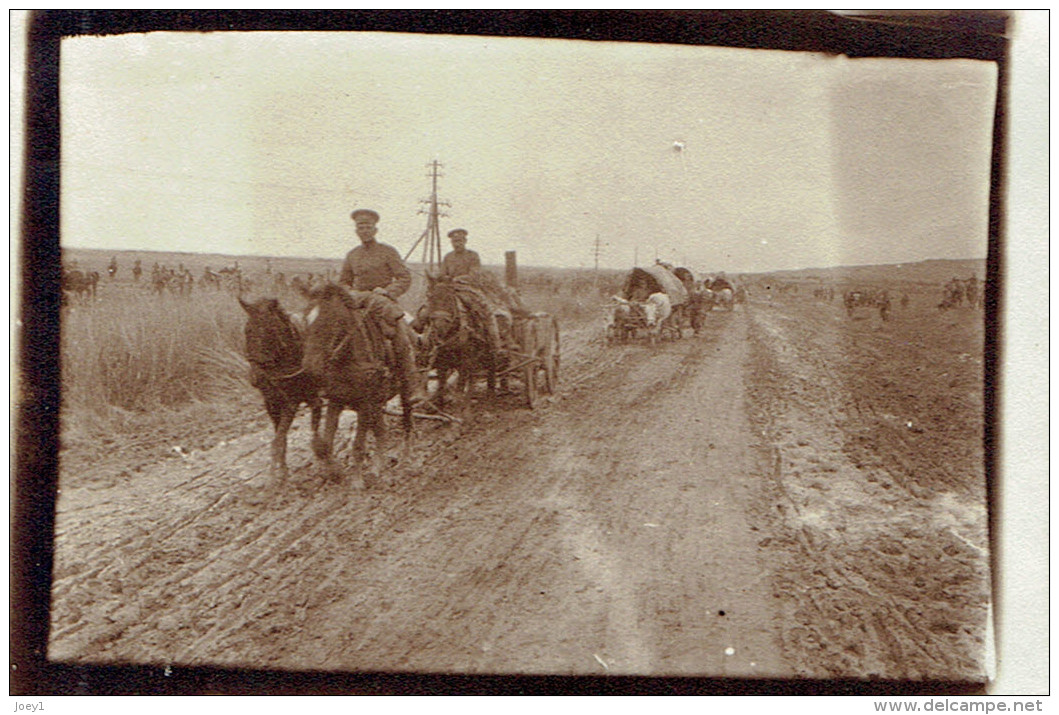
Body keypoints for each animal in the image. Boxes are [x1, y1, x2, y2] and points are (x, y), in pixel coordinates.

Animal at [238, 294, 319, 487]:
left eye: (270, 330)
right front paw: (282, 470)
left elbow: (279, 439)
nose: (256, 378)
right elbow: (280, 438)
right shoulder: (272, 404)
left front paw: (274, 478)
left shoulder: (293, 402)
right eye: (247, 331)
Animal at [300, 281, 415, 489]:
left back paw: (406, 455)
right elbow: (326, 443)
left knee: (408, 422)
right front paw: (333, 472)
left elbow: (358, 445)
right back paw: (378, 467)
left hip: (403, 392)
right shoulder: (336, 401)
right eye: (306, 320)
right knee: (381, 431)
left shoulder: (364, 404)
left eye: (331, 322)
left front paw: (356, 481)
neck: (348, 362)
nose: (310, 367)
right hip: (377, 404)